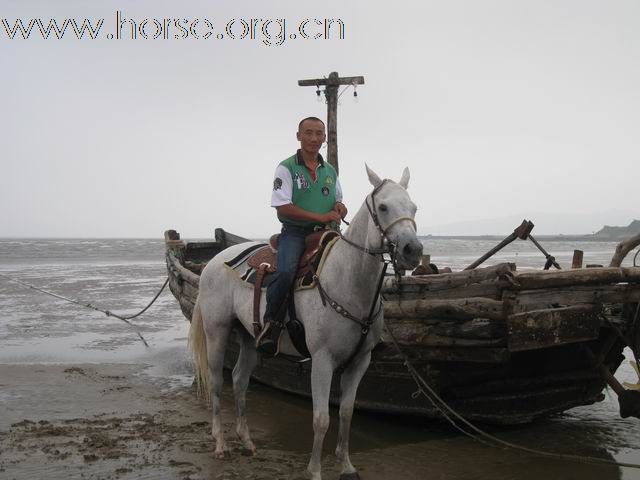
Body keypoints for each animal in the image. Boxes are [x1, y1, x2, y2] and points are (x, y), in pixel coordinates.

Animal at [188, 166, 422, 480]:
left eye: (413, 207)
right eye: (383, 207)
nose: (412, 250)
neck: (348, 281)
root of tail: (214, 262)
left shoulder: (360, 361)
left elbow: (346, 413)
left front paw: (346, 466)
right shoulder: (322, 360)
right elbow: (321, 419)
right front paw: (314, 471)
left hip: (249, 337)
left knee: (239, 381)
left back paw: (247, 441)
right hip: (217, 332)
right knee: (216, 383)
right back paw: (221, 445)